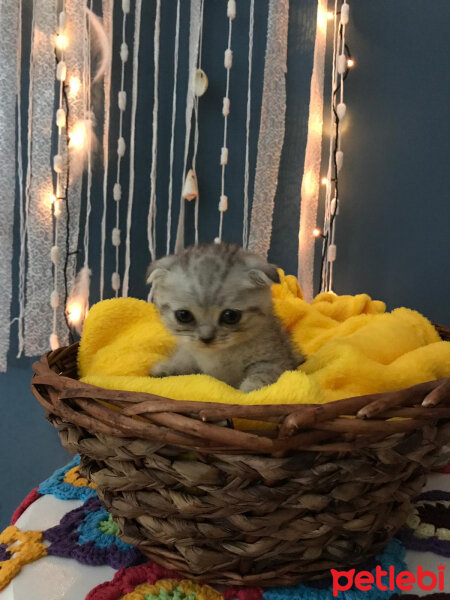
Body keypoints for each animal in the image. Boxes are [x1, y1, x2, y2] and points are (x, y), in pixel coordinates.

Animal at [148, 241, 302, 392]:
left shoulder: (275, 361)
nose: (206, 339)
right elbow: (182, 361)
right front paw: (165, 369)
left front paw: (249, 390)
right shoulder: (189, 353)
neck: (216, 354)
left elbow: (260, 378)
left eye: (230, 316)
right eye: (183, 315)